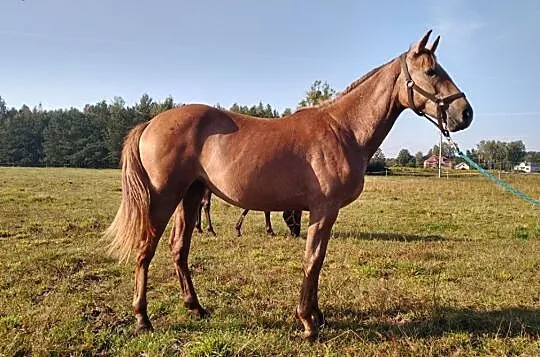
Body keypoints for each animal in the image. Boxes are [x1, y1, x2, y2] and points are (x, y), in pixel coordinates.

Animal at [105, 31, 472, 340]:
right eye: (432, 72)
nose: (465, 113)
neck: (343, 129)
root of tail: (151, 123)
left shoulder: (322, 214)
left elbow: (317, 261)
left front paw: (318, 315)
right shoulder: (324, 210)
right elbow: (313, 260)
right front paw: (308, 322)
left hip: (192, 195)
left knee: (179, 249)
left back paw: (195, 308)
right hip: (163, 198)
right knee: (145, 250)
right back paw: (142, 318)